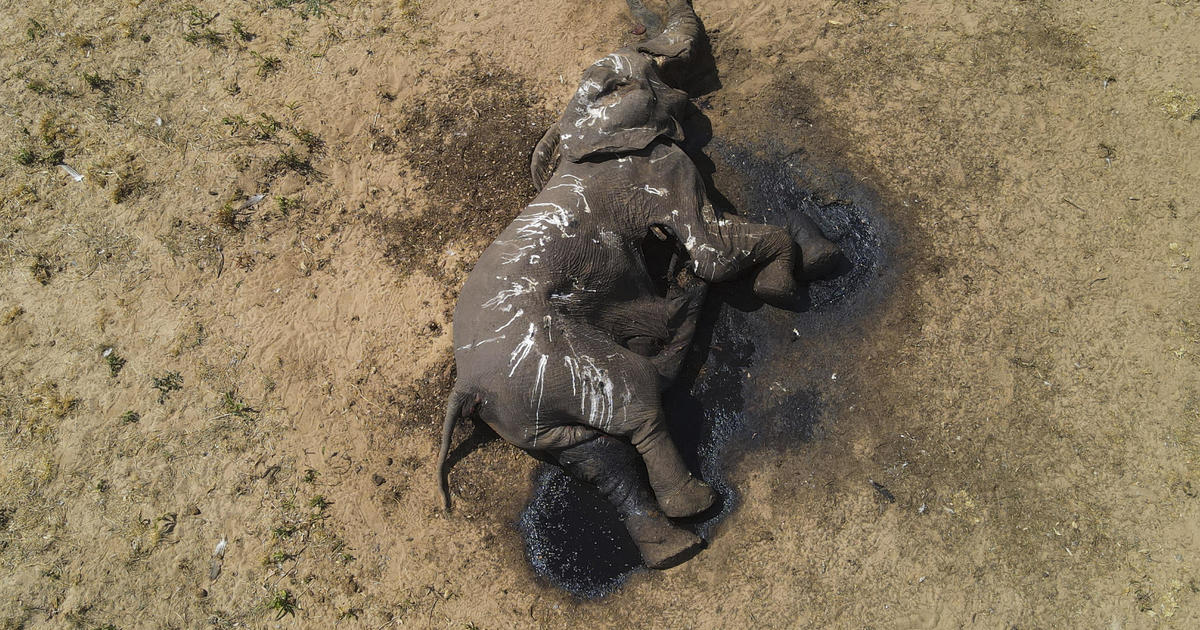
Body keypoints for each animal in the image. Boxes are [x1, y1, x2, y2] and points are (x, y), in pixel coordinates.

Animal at [437, 0, 842, 570]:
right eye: (652, 69)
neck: (578, 127)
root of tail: (467, 386)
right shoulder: (659, 170)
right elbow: (713, 251)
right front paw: (782, 287)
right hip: (555, 359)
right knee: (636, 398)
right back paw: (696, 507)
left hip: (527, 407)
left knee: (595, 455)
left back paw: (671, 548)